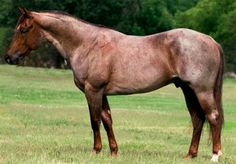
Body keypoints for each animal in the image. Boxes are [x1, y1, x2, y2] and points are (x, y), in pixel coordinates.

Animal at [4, 7, 224, 161]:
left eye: (23, 29)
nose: (8, 57)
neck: (86, 44)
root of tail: (211, 41)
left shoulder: (92, 90)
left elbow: (94, 121)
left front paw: (96, 151)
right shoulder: (102, 93)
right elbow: (107, 120)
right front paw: (113, 151)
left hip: (201, 91)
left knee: (213, 117)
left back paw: (215, 155)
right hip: (188, 90)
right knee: (197, 119)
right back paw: (190, 155)